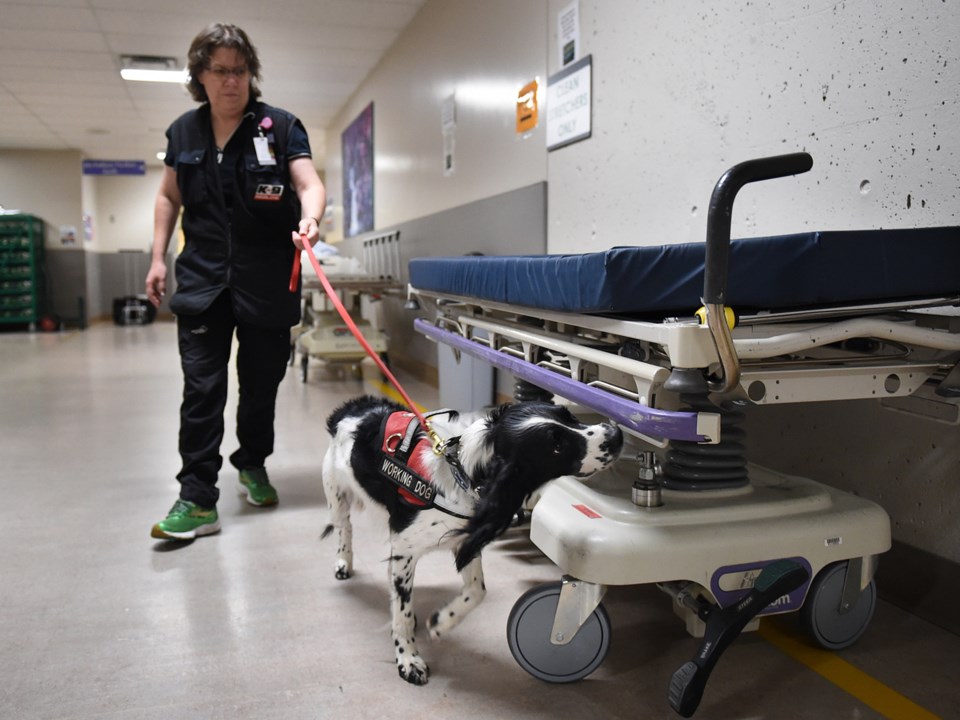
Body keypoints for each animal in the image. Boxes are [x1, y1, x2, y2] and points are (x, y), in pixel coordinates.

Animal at [318, 396, 628, 684]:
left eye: (569, 415)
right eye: (557, 446)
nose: (616, 434)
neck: (462, 473)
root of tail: (355, 406)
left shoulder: (464, 538)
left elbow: (477, 590)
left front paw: (442, 622)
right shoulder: (405, 549)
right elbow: (402, 613)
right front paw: (408, 659)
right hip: (336, 495)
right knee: (345, 528)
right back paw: (343, 562)